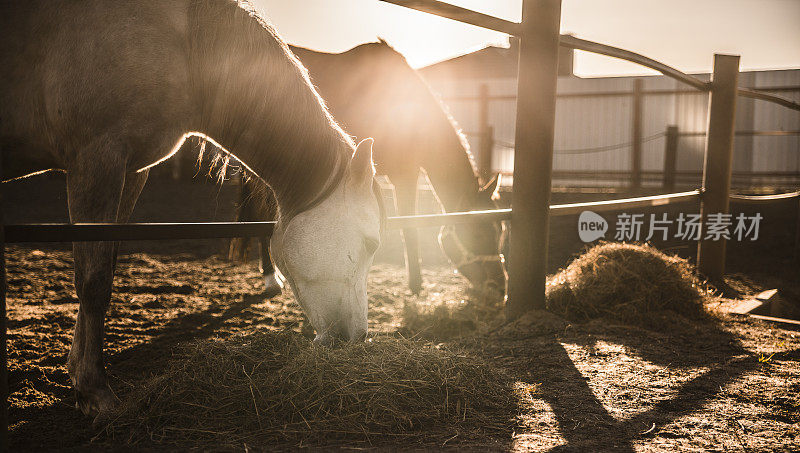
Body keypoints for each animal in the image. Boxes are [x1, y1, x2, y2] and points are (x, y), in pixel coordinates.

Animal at [0, 0, 384, 416]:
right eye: (372, 244)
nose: (355, 338)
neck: (184, 45)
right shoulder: (96, 160)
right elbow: (93, 281)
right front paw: (93, 390)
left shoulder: (130, 172)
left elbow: (105, 269)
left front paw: (76, 373)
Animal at [228, 41, 504, 296]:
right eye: (479, 234)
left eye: (500, 231)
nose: (499, 288)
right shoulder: (404, 175)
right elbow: (409, 227)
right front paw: (415, 285)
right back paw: (271, 278)